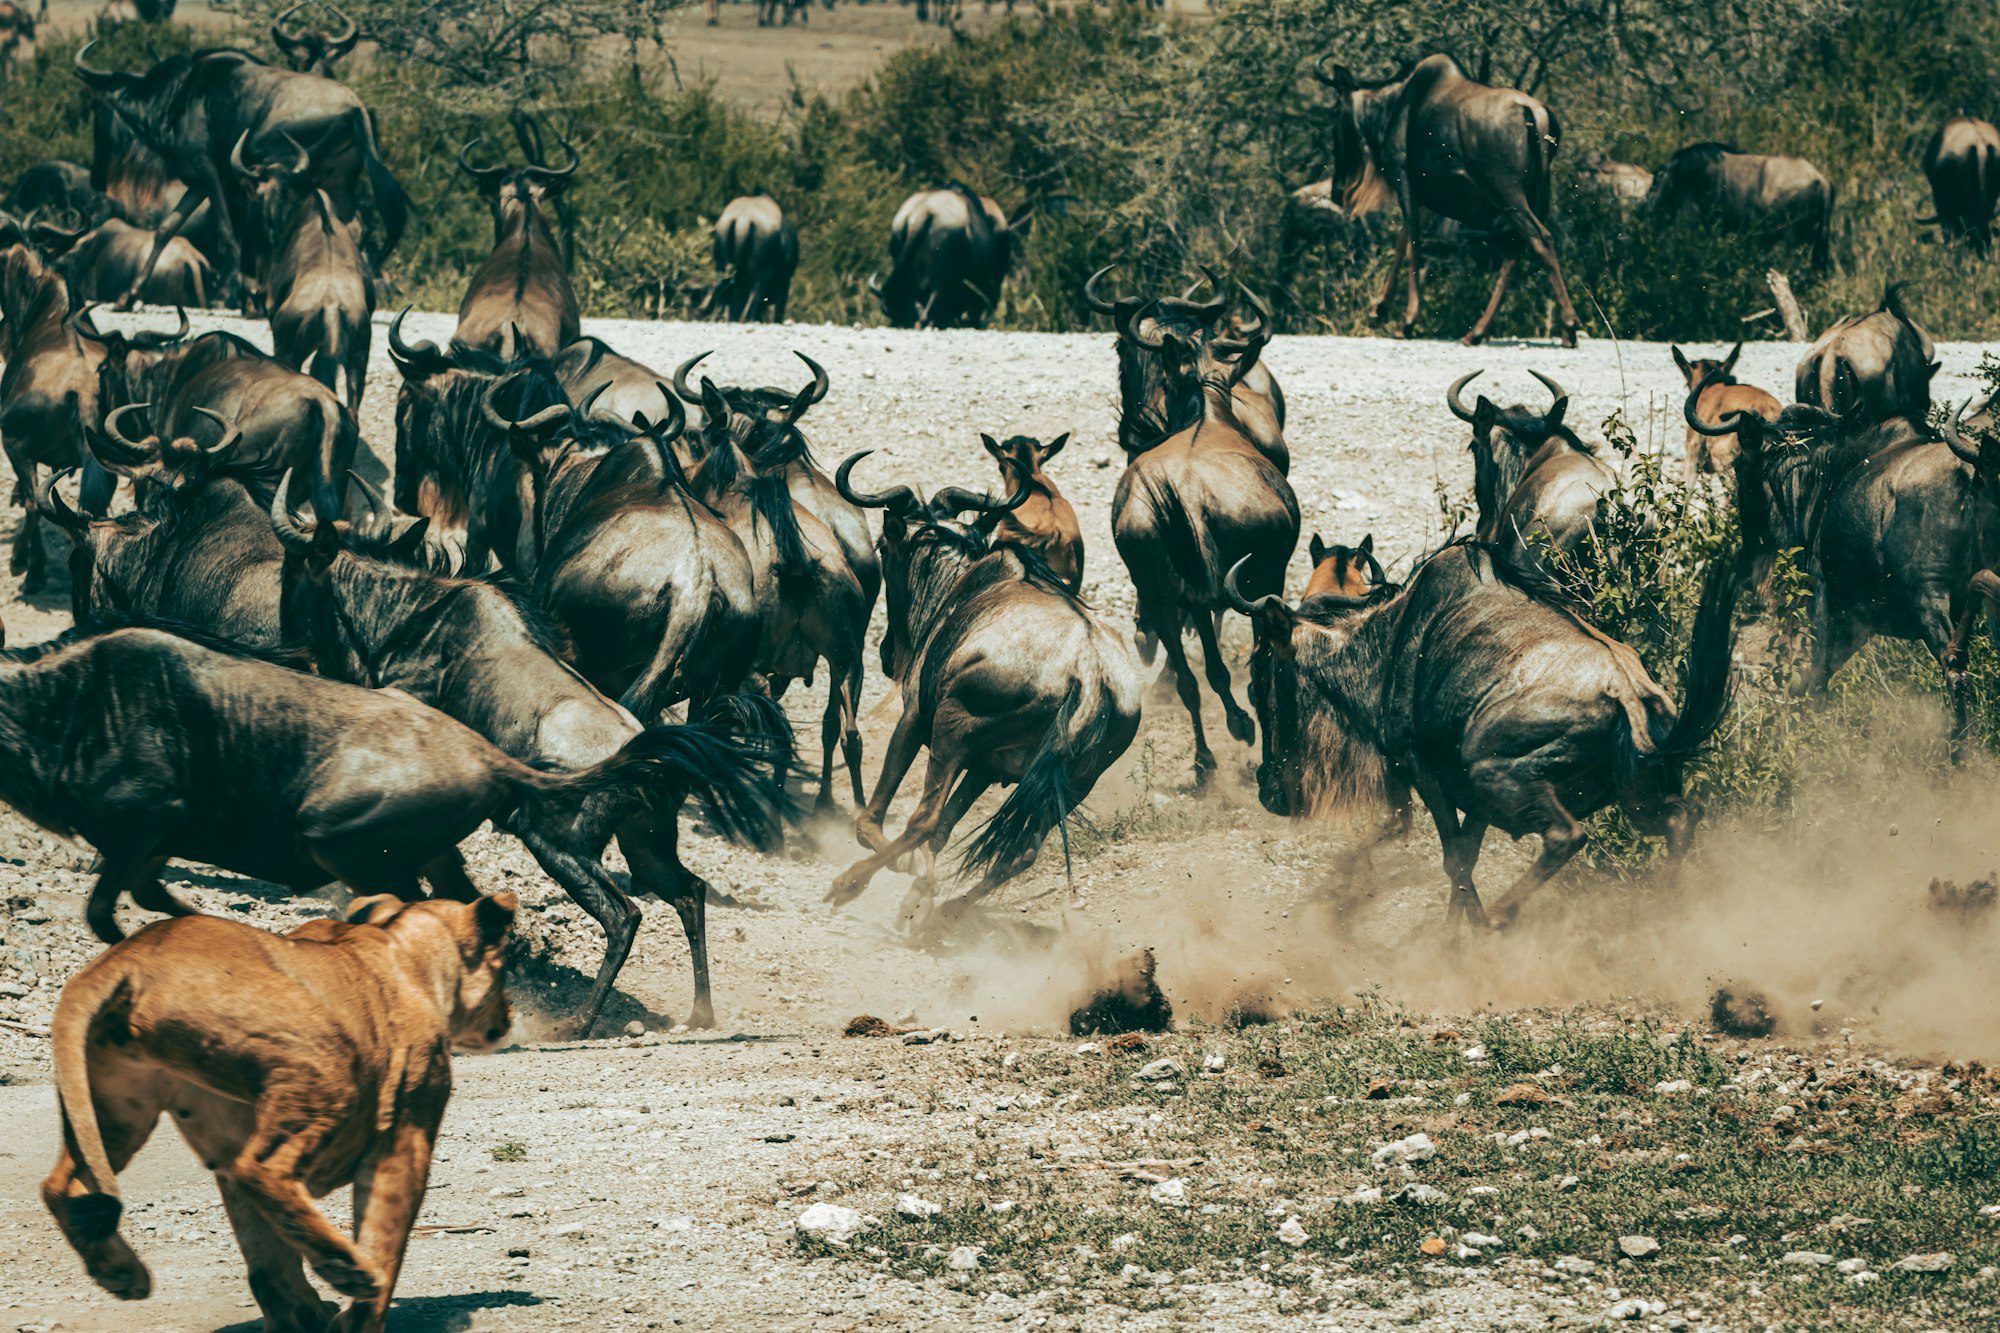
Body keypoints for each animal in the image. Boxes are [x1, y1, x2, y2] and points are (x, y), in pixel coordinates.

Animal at [41, 891, 518, 1333]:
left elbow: (270, 1258)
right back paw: (347, 1268)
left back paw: (122, 1273)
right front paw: (359, 1316)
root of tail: (131, 954)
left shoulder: (228, 1147)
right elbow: (385, 1238)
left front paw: (304, 1316)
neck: (402, 948)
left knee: (64, 1184)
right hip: (325, 1063)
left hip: (119, 1112)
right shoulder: (407, 1137)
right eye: (504, 972)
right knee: (261, 1169)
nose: (511, 1013)